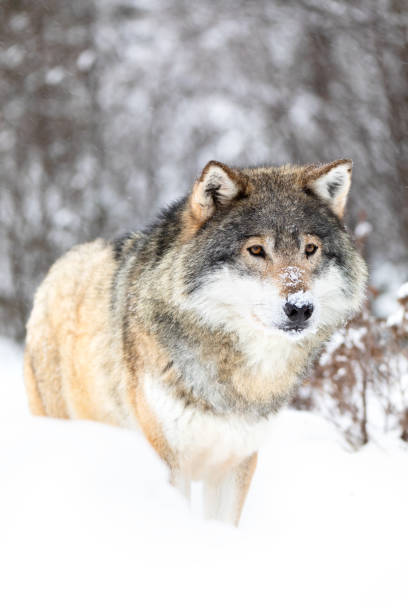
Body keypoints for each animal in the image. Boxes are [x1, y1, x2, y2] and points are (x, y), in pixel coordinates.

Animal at [23, 159, 366, 524]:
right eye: (256, 250)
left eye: (310, 249)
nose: (300, 308)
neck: (236, 379)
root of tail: (61, 264)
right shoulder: (169, 461)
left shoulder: (237, 462)